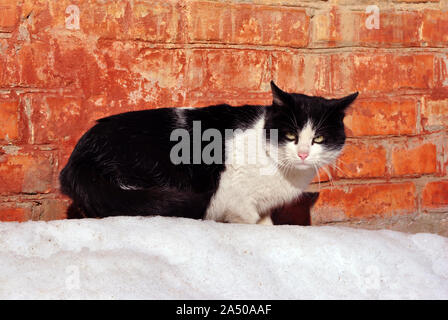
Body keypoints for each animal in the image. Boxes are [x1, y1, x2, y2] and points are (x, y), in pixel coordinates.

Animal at [59, 81, 356, 224]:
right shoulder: (235, 194)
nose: (303, 153)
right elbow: (247, 218)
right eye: (291, 135)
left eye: (318, 138)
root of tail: (79, 157)